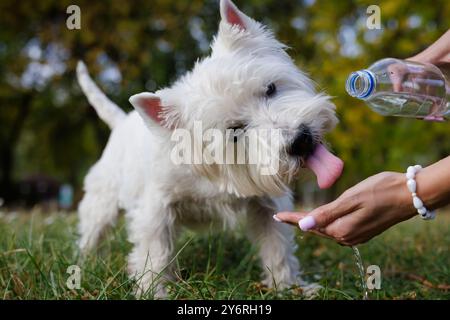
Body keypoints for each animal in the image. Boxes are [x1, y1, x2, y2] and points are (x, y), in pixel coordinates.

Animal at [77, 0, 344, 298]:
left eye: (271, 89)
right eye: (235, 129)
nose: (300, 140)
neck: (216, 175)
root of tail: (121, 121)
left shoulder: (267, 204)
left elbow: (277, 247)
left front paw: (290, 287)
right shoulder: (155, 209)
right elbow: (155, 253)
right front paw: (153, 291)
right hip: (102, 199)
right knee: (92, 231)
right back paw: (85, 264)